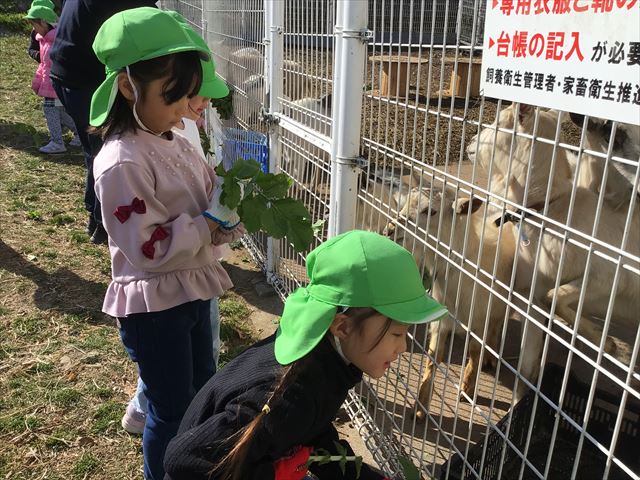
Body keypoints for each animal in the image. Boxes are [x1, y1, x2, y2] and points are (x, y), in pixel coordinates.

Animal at [384, 181, 517, 418]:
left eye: (431, 211)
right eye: (405, 203)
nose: (390, 230)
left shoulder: (480, 319)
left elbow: (474, 352)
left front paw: (466, 389)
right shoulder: (441, 320)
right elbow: (433, 357)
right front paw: (420, 407)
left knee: (496, 326)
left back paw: (490, 357)